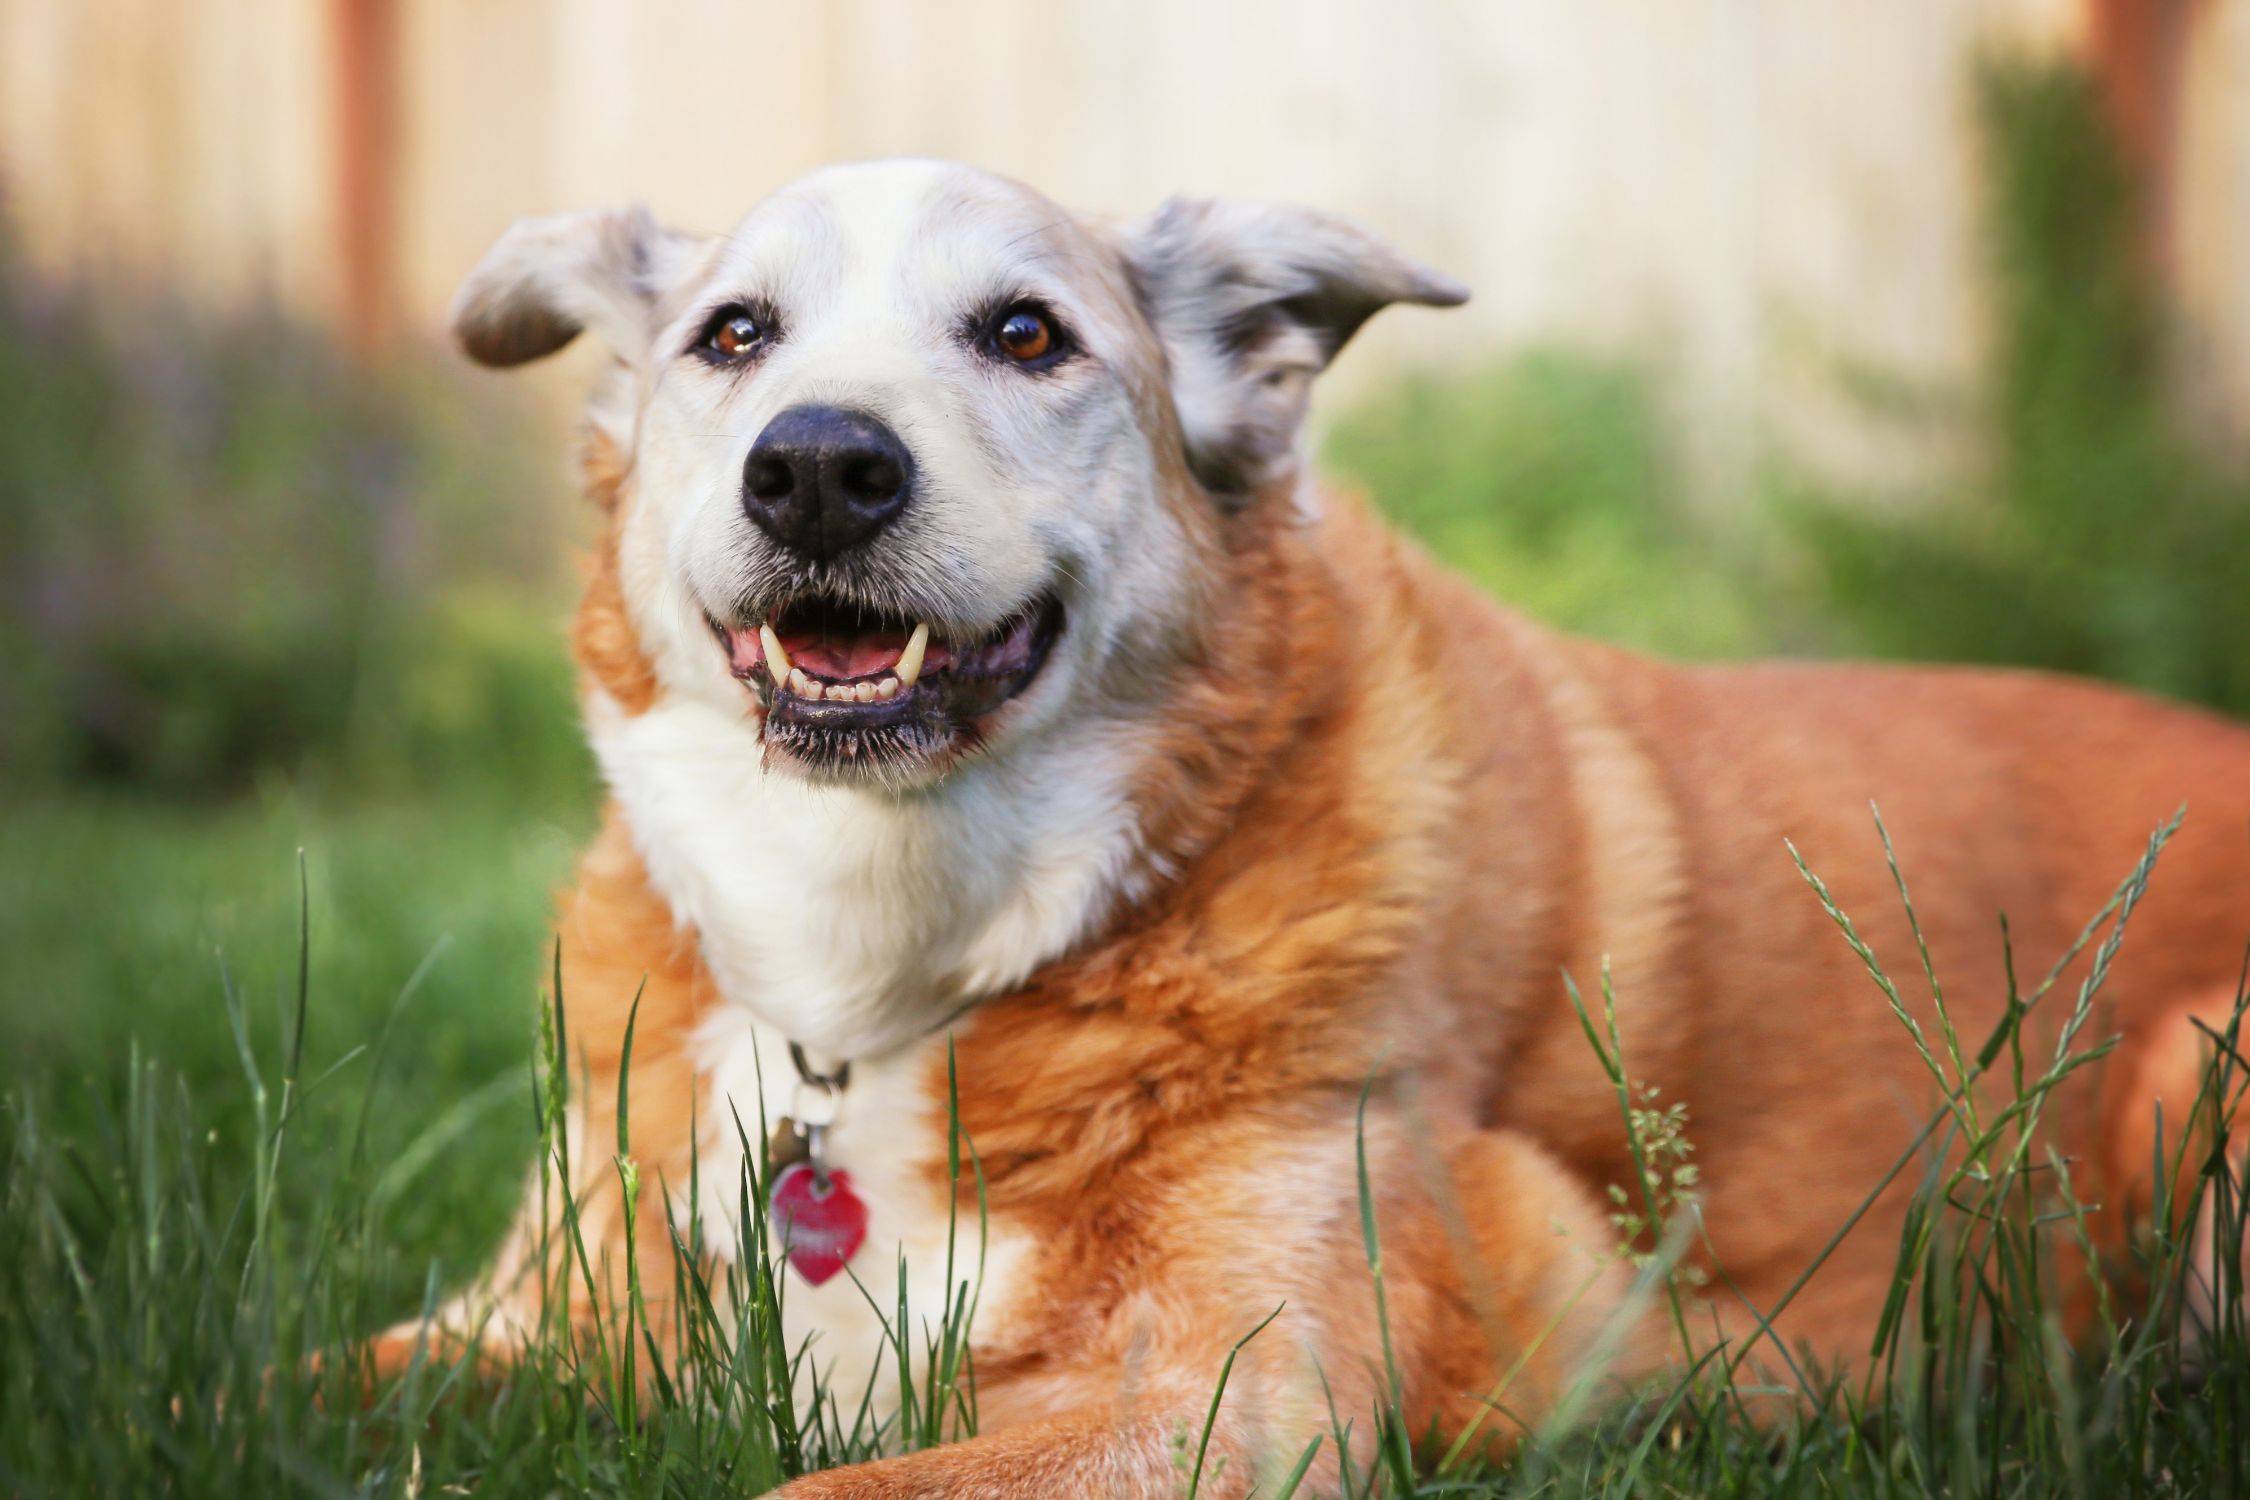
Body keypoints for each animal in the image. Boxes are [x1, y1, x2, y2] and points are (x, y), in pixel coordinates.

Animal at [409, 158, 2250, 1493]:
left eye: (1025, 335)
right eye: (735, 337)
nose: (812, 469)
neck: (878, 987)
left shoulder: (1227, 1400)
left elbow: (811, 1485)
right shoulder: (519, 1322)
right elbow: (349, 1386)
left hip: (2193, 1080)